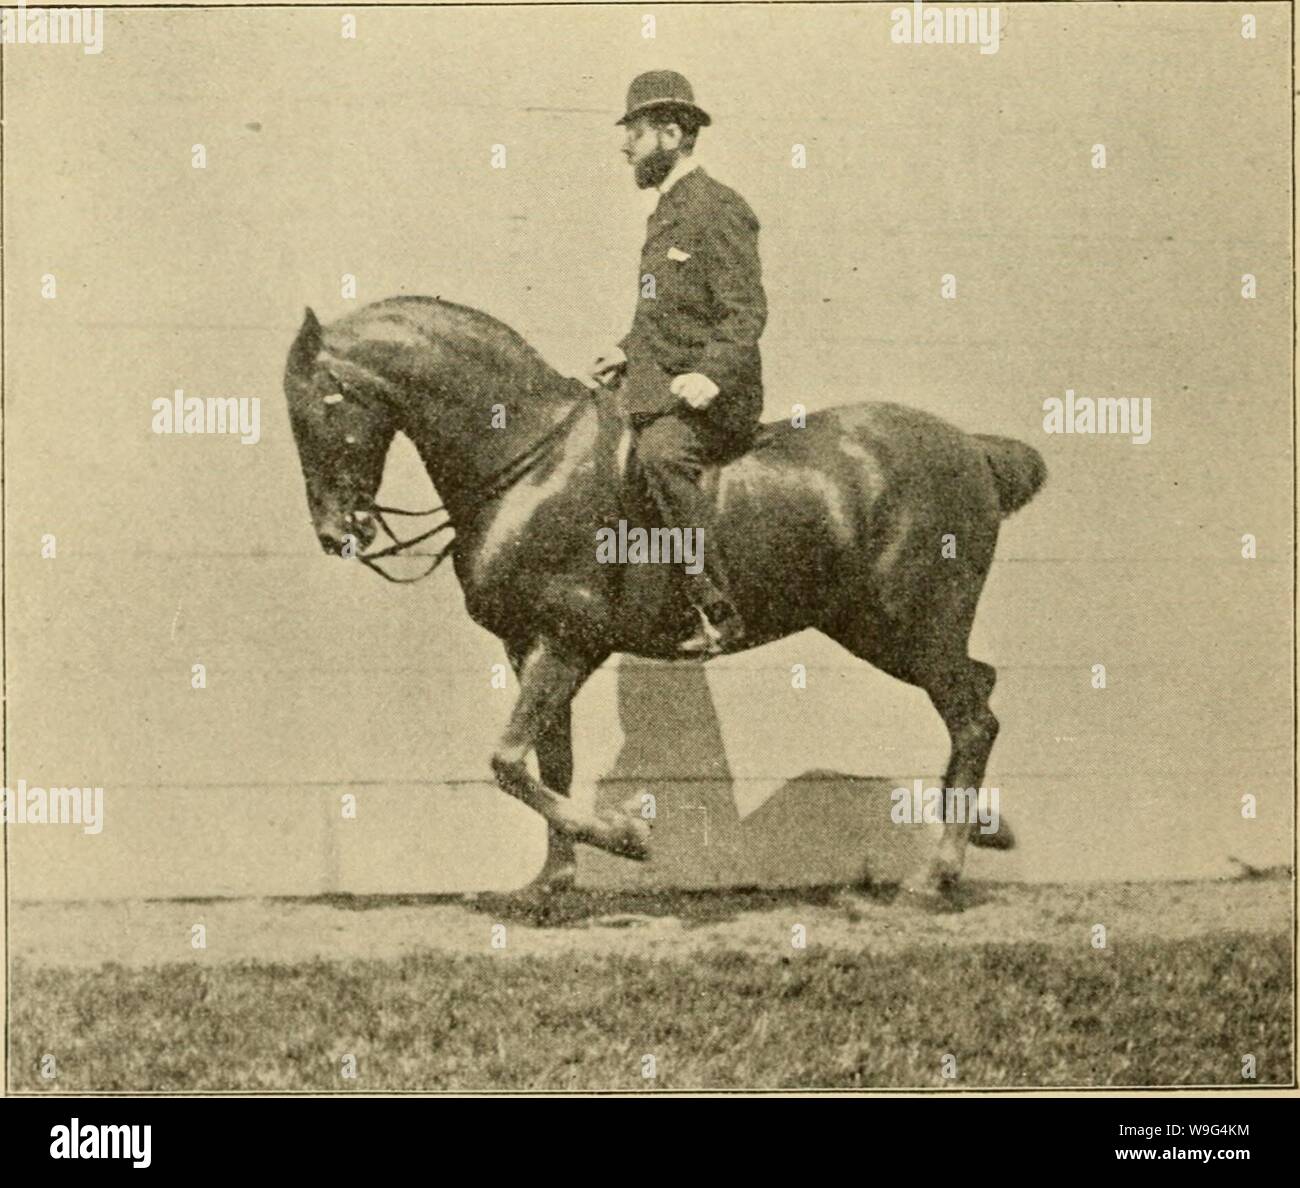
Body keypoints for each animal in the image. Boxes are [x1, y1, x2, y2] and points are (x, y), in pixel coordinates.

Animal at [282, 295, 1046, 897]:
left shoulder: (569, 638)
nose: (337, 532)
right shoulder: (528, 645)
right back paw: (986, 830)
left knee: (973, 717)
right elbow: (548, 761)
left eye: (324, 404)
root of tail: (973, 449)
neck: (532, 461)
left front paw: (626, 838)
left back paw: (936, 873)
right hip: (885, 631)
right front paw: (554, 881)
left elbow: (506, 760)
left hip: (907, 628)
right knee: (978, 692)